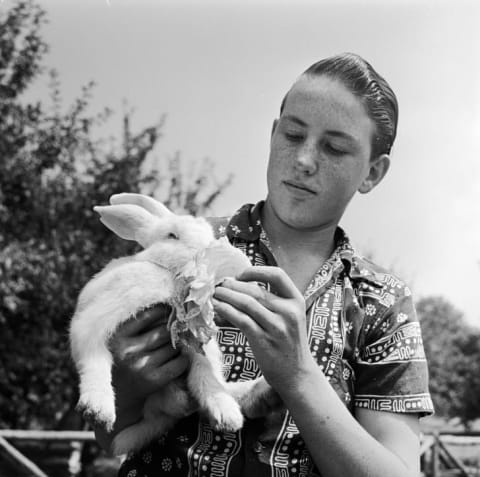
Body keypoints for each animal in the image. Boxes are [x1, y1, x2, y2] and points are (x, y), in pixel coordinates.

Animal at [69, 192, 270, 454]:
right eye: (172, 236)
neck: (167, 277)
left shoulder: (195, 340)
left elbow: (207, 374)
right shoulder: (93, 322)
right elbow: (94, 360)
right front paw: (98, 410)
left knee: (210, 383)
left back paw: (240, 407)